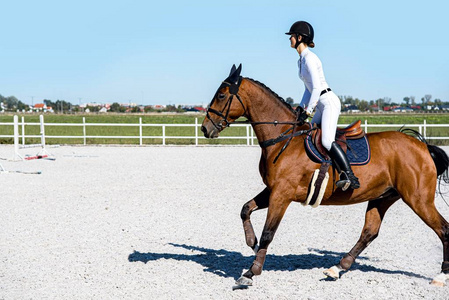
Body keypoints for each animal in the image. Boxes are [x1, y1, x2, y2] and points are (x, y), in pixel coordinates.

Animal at [200, 64, 448, 288]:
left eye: (221, 95)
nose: (205, 129)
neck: (282, 139)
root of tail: (422, 146)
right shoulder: (273, 190)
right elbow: (245, 209)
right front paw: (251, 243)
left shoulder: (281, 194)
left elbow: (268, 232)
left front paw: (251, 272)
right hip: (383, 197)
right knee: (369, 232)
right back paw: (338, 268)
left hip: (418, 200)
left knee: (443, 229)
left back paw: (441, 275)